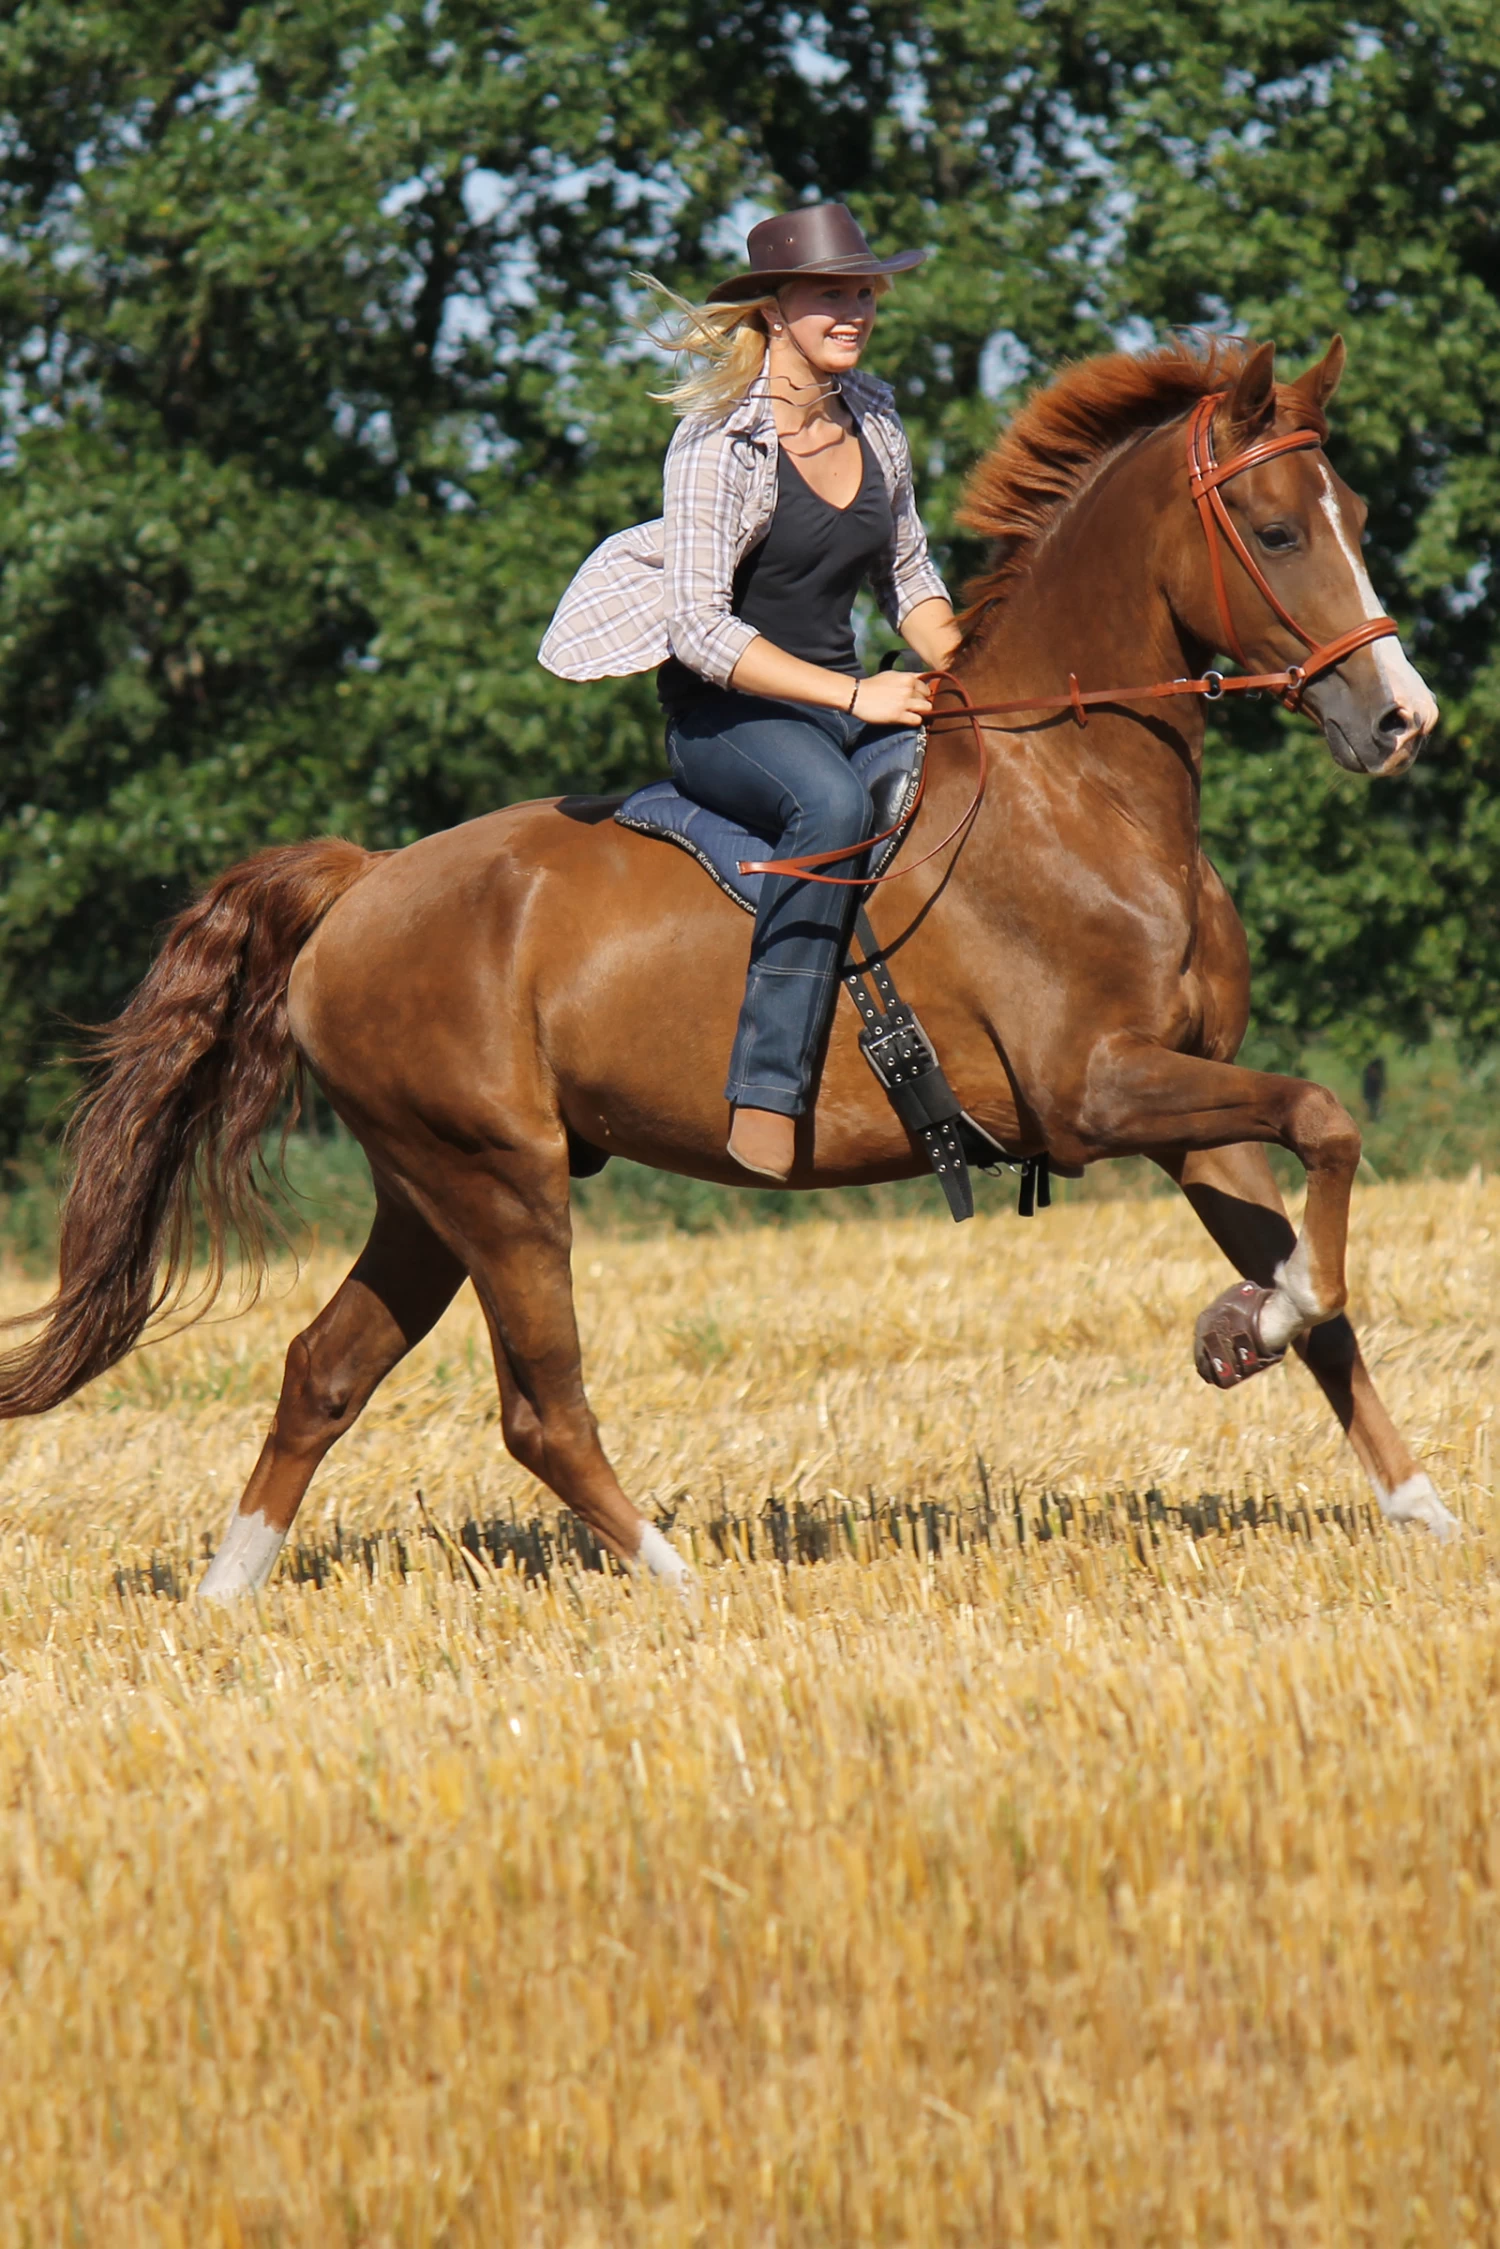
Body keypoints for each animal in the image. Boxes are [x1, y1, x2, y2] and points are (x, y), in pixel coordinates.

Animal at [0, 333, 1459, 1596]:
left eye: (1355, 511)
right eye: (1275, 530)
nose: (1402, 719)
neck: (1079, 790)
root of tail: (359, 885)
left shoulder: (1188, 1094)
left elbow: (1320, 1258)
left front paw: (1408, 1493)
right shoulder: (1099, 1093)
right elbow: (1327, 1129)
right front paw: (1254, 1324)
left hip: (427, 1191)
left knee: (323, 1369)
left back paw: (221, 1600)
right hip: (501, 1182)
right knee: (540, 1405)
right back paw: (681, 1580)